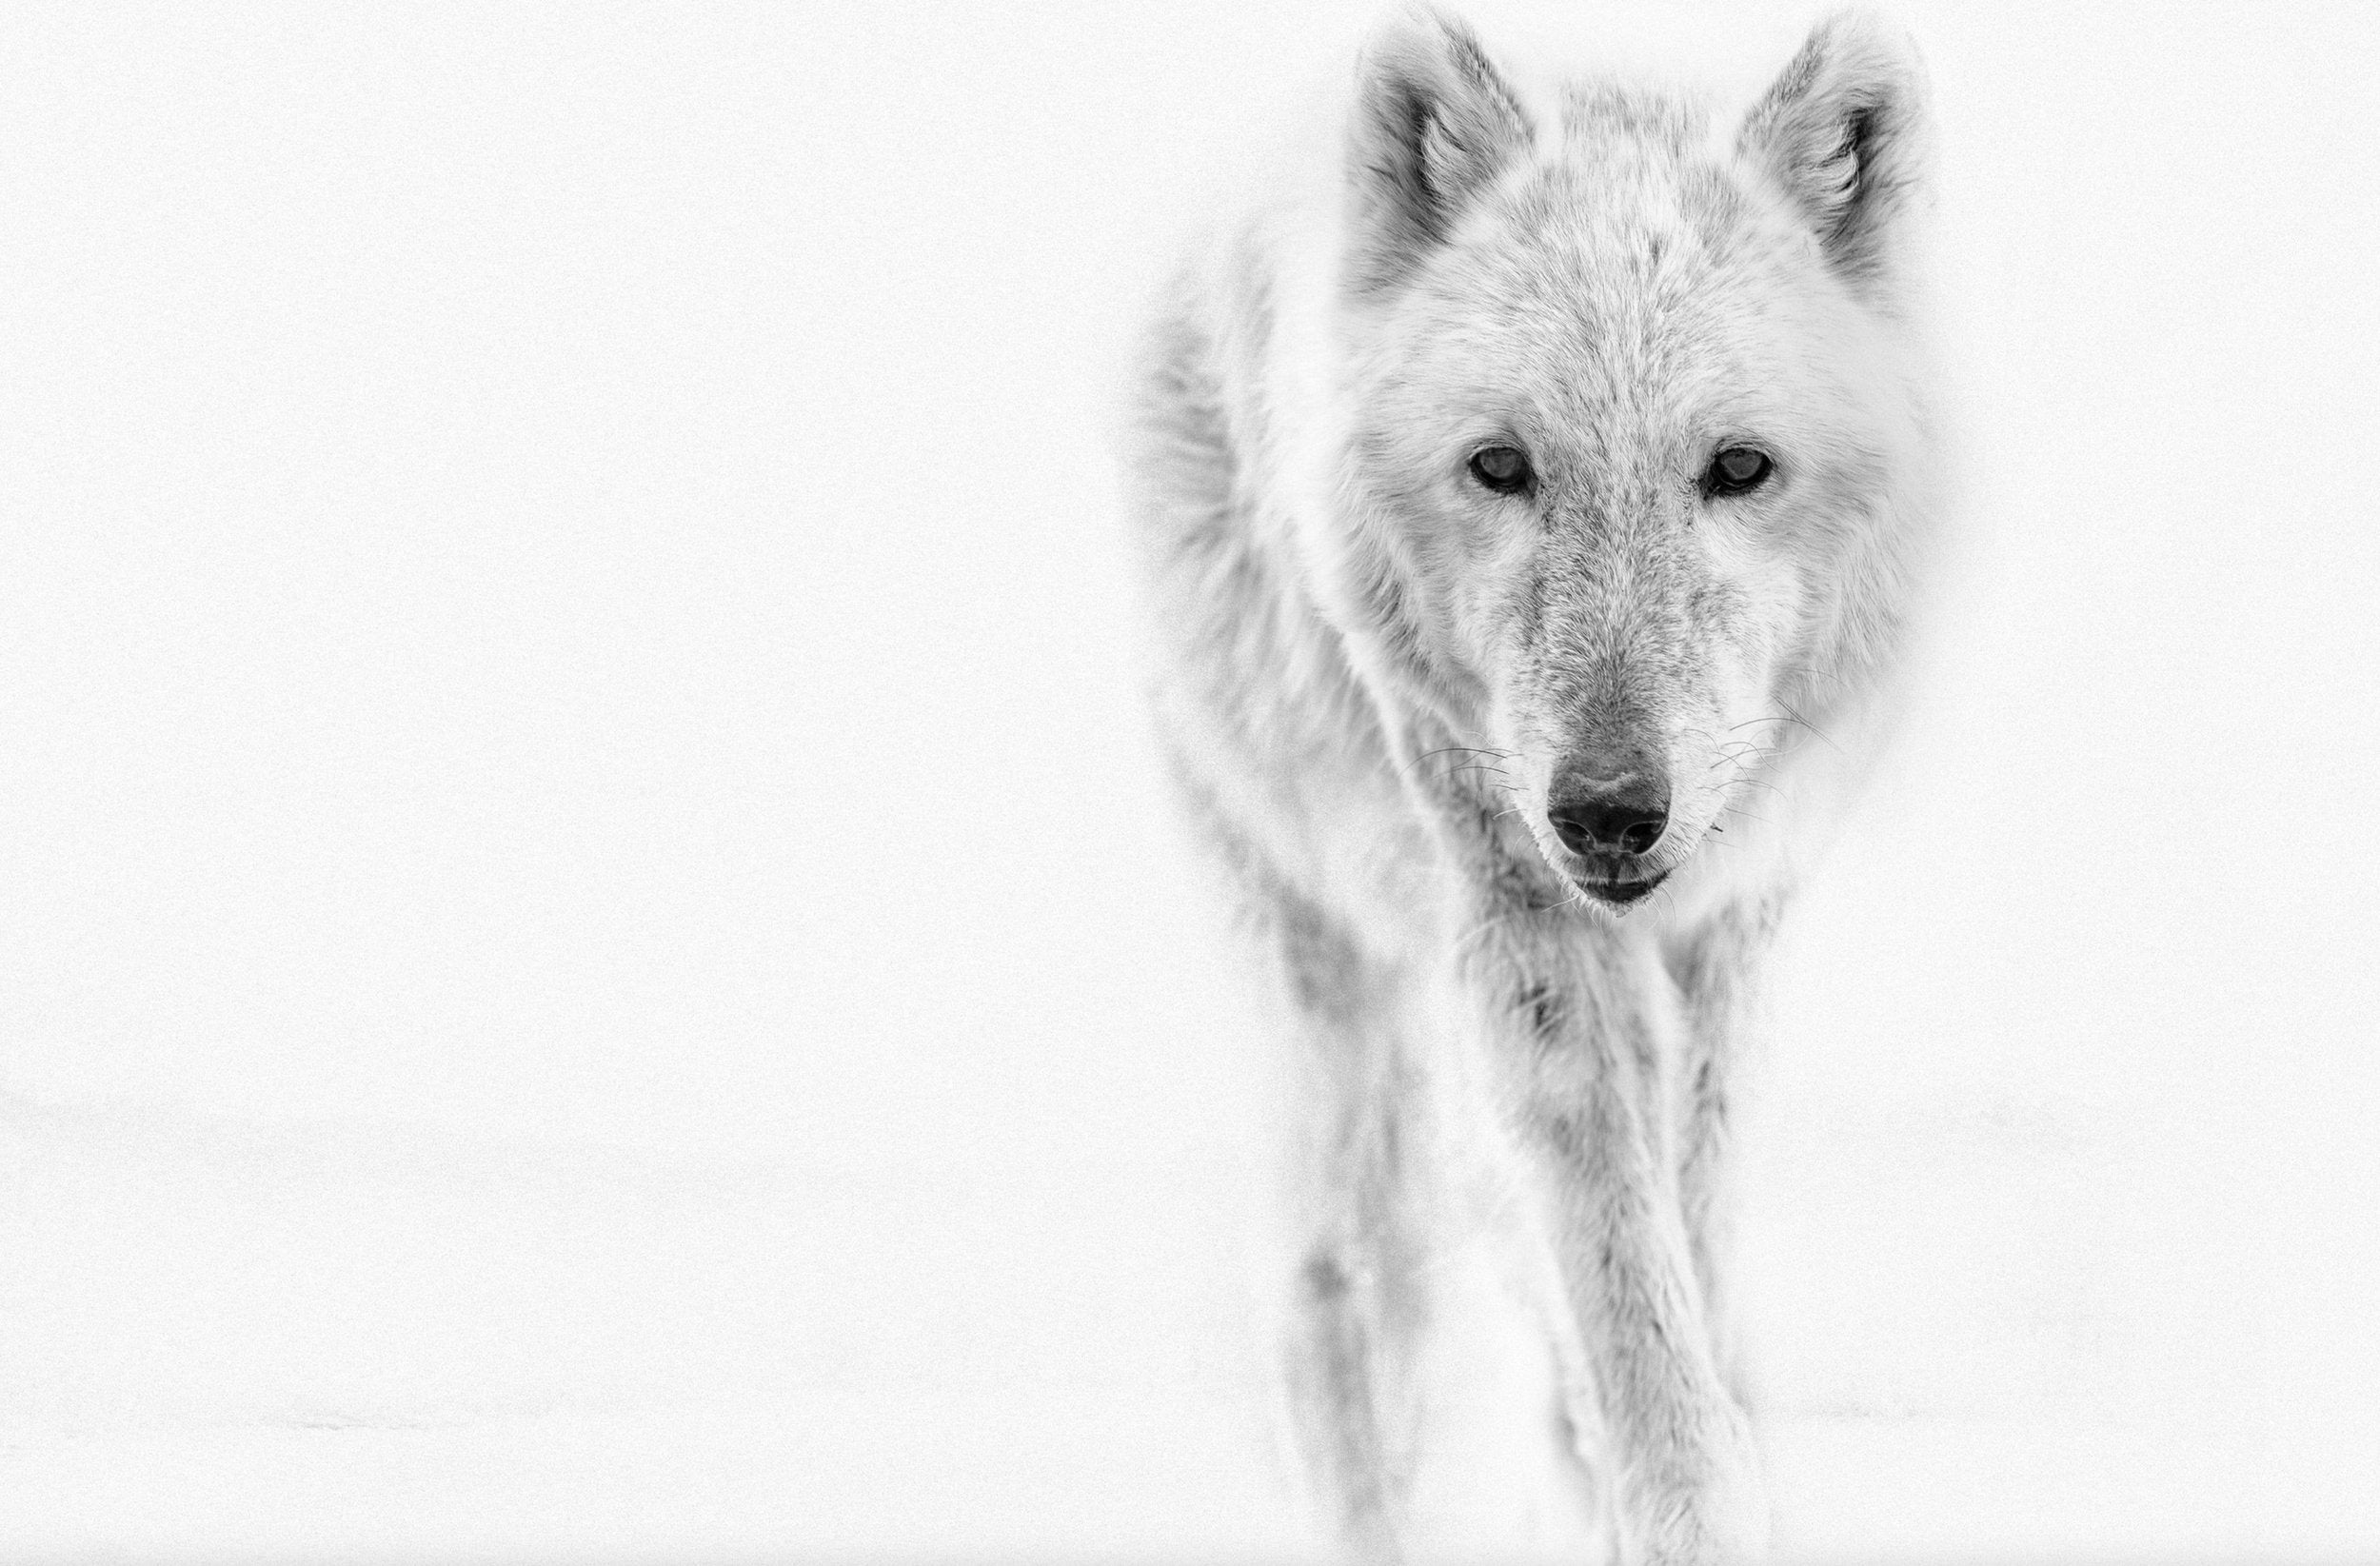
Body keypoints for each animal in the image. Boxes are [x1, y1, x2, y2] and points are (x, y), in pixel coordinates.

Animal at [1122, 7, 1942, 1561]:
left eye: (1738, 467)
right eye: (1499, 466)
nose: (1608, 809)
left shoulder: (1730, 930)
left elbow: (1682, 1229)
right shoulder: (1514, 908)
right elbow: (1612, 1250)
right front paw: (1680, 1497)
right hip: (1328, 993)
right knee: (1331, 1297)